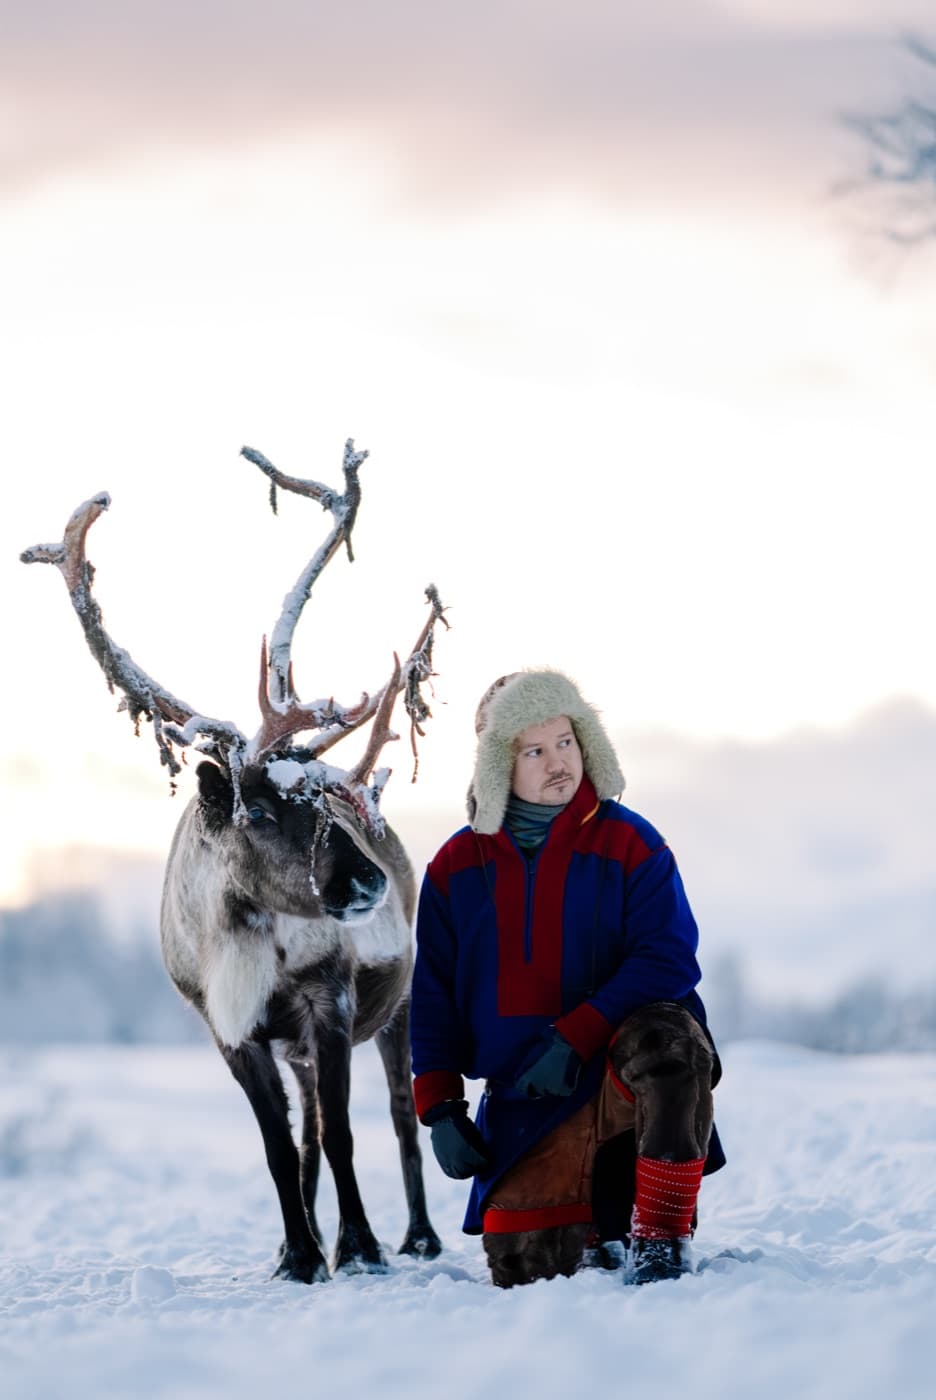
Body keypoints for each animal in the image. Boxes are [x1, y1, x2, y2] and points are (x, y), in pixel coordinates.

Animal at [21, 439, 446, 1282]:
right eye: (264, 812)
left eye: (326, 805)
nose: (370, 881)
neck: (244, 937)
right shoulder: (229, 1024)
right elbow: (279, 1147)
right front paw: (299, 1256)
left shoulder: (328, 998)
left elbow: (345, 1134)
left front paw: (360, 1248)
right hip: (300, 1046)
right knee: (308, 1131)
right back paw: (305, 1241)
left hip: (401, 1002)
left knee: (397, 1114)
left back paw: (416, 1238)